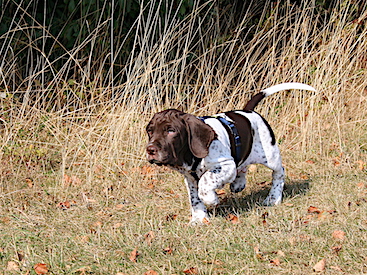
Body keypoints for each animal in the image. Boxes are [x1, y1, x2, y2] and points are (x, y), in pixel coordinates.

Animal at [147, 82, 316, 224]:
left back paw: (273, 198)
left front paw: (212, 200)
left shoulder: (225, 165)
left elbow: (205, 183)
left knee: (279, 173)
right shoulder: (190, 178)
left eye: (171, 131)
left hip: (270, 156)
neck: (191, 158)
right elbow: (195, 198)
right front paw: (199, 218)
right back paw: (238, 184)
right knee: (242, 167)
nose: (150, 150)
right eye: (150, 131)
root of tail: (249, 111)